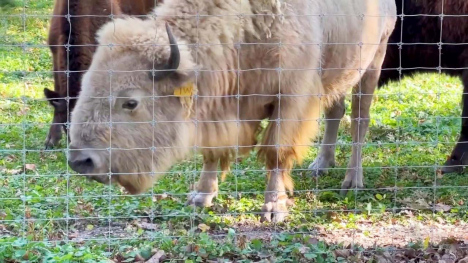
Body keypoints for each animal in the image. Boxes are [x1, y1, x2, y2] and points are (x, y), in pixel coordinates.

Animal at [67, 0, 396, 223]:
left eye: (131, 102)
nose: (80, 161)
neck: (247, 26)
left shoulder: (291, 99)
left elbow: (276, 152)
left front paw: (273, 208)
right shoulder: (221, 110)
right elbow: (213, 152)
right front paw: (201, 196)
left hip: (372, 62)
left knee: (360, 119)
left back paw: (352, 181)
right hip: (338, 76)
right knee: (335, 111)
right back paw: (320, 165)